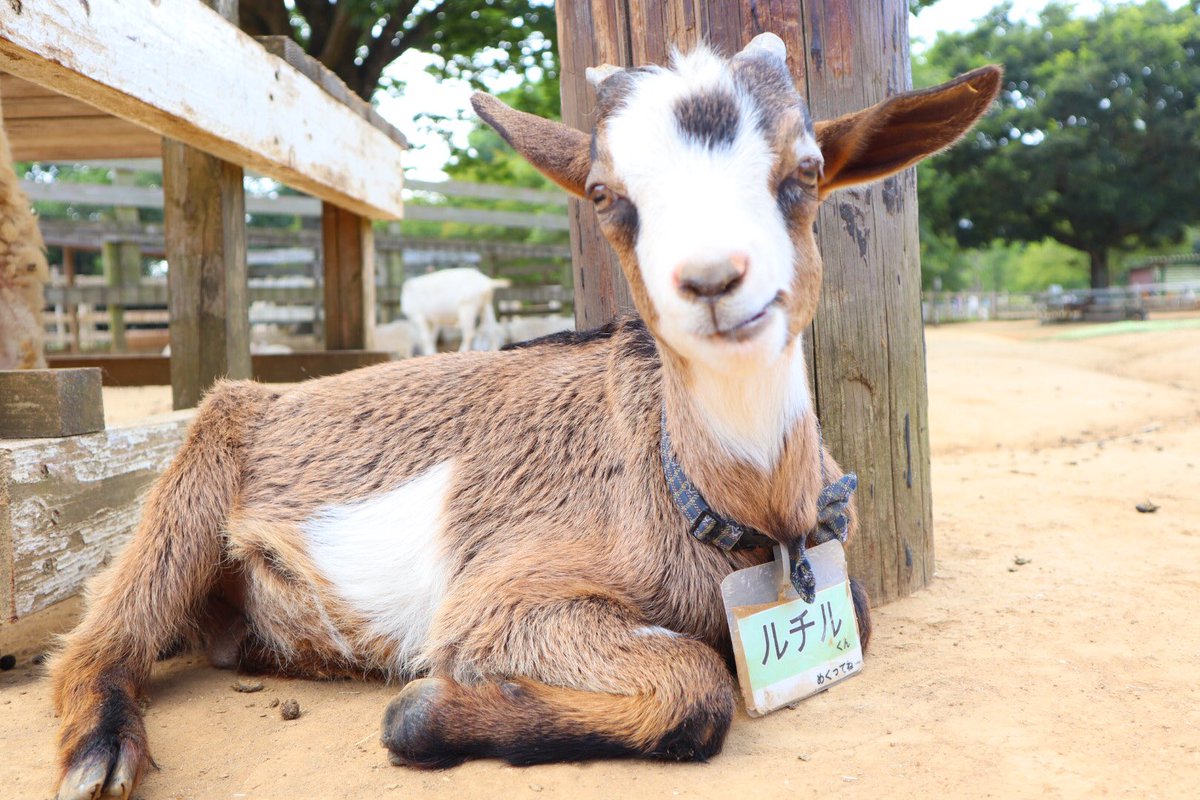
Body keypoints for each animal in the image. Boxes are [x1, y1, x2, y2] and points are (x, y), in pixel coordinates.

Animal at [49, 37, 1003, 800]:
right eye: (606, 194)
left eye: (804, 170)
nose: (711, 280)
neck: (735, 511)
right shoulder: (503, 599)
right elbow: (694, 687)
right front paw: (424, 714)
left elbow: (856, 614)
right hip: (189, 481)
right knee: (102, 634)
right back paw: (100, 754)